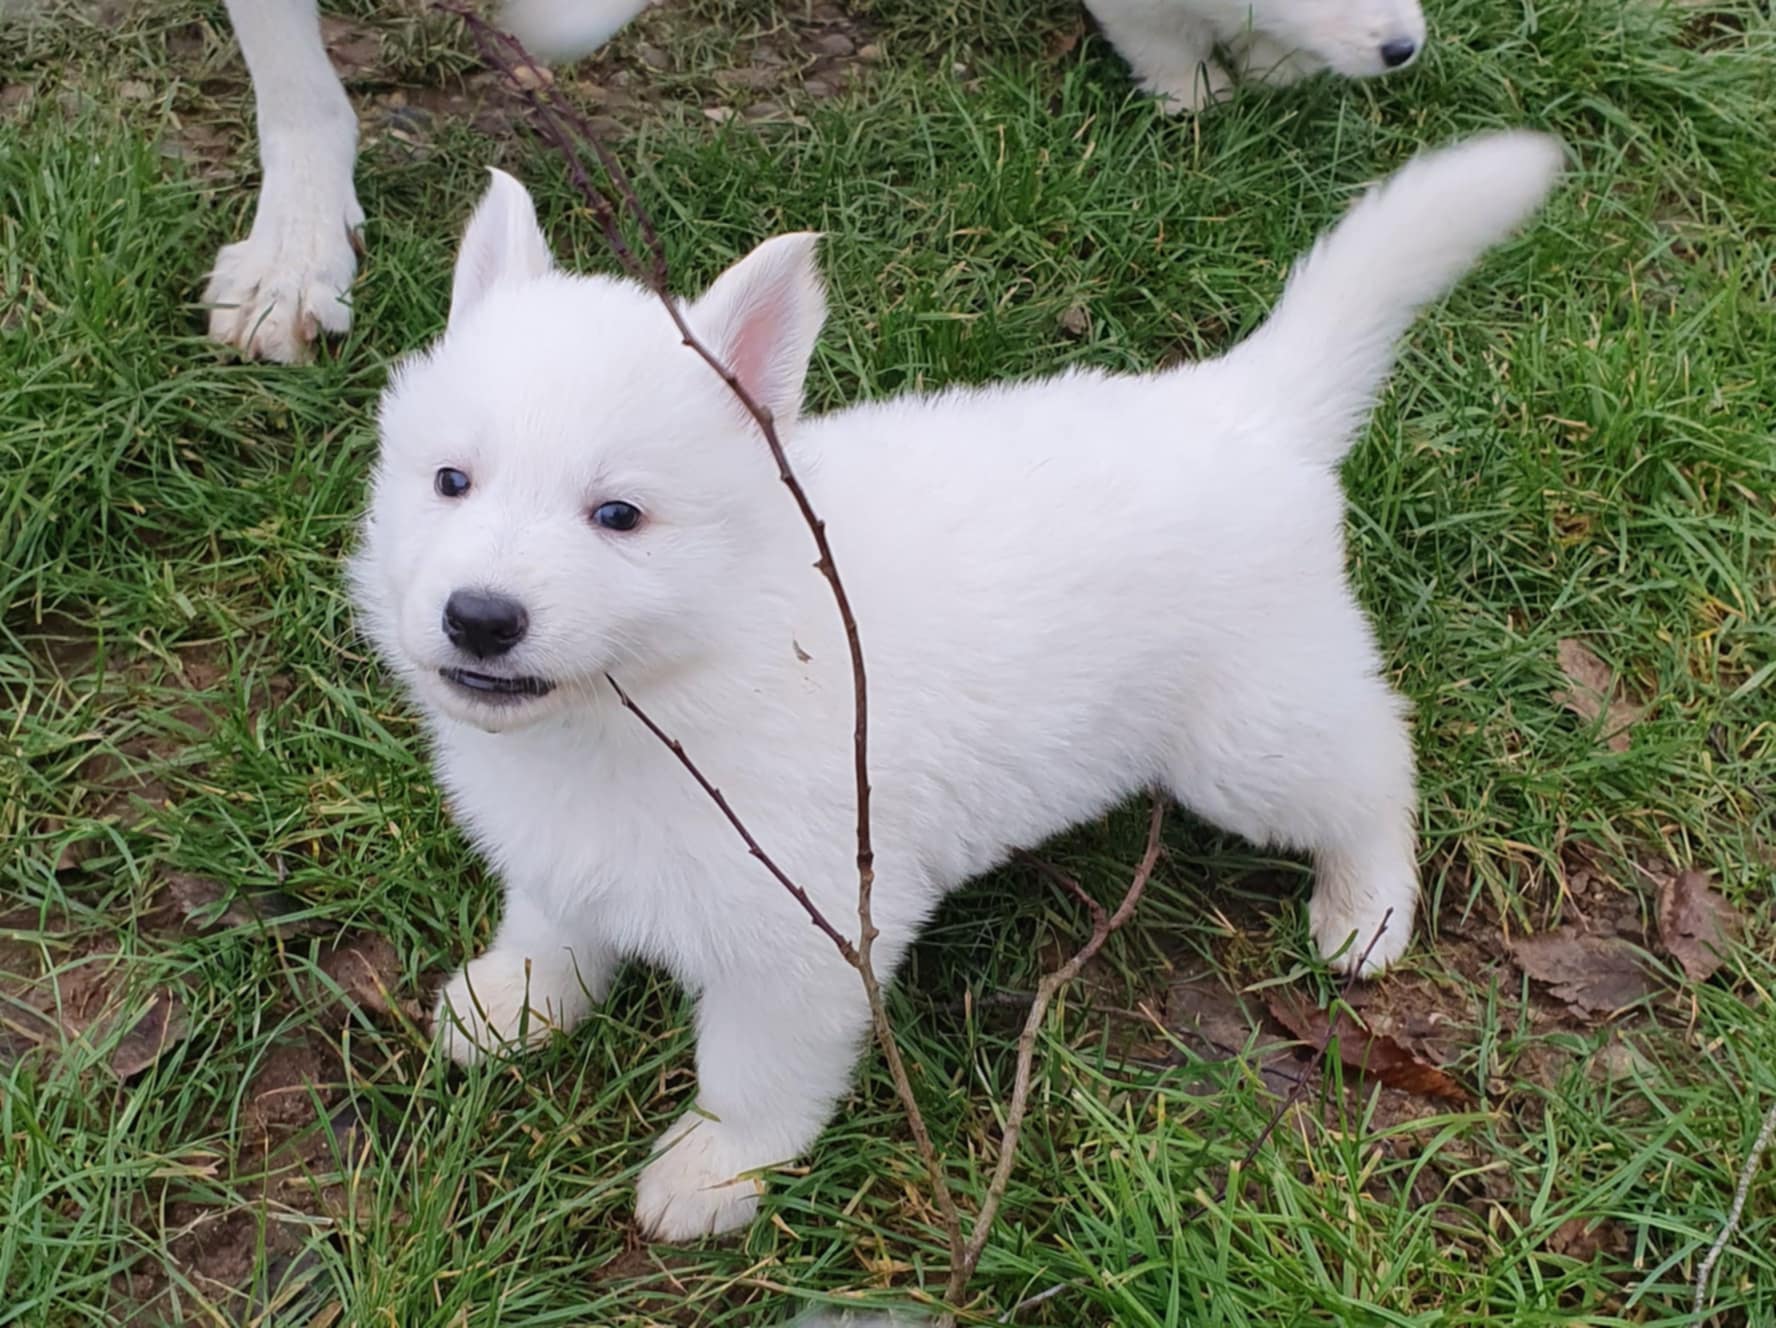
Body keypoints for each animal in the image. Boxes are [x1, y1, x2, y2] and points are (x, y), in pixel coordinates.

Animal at [349, 132, 1569, 1235]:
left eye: (618, 514)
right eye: (450, 481)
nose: (480, 617)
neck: (668, 686)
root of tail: (1244, 404)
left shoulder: (810, 935)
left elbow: (753, 1071)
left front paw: (715, 1171)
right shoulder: (564, 844)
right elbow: (553, 920)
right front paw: (512, 1003)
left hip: (1248, 740)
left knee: (1373, 763)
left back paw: (1367, 907)